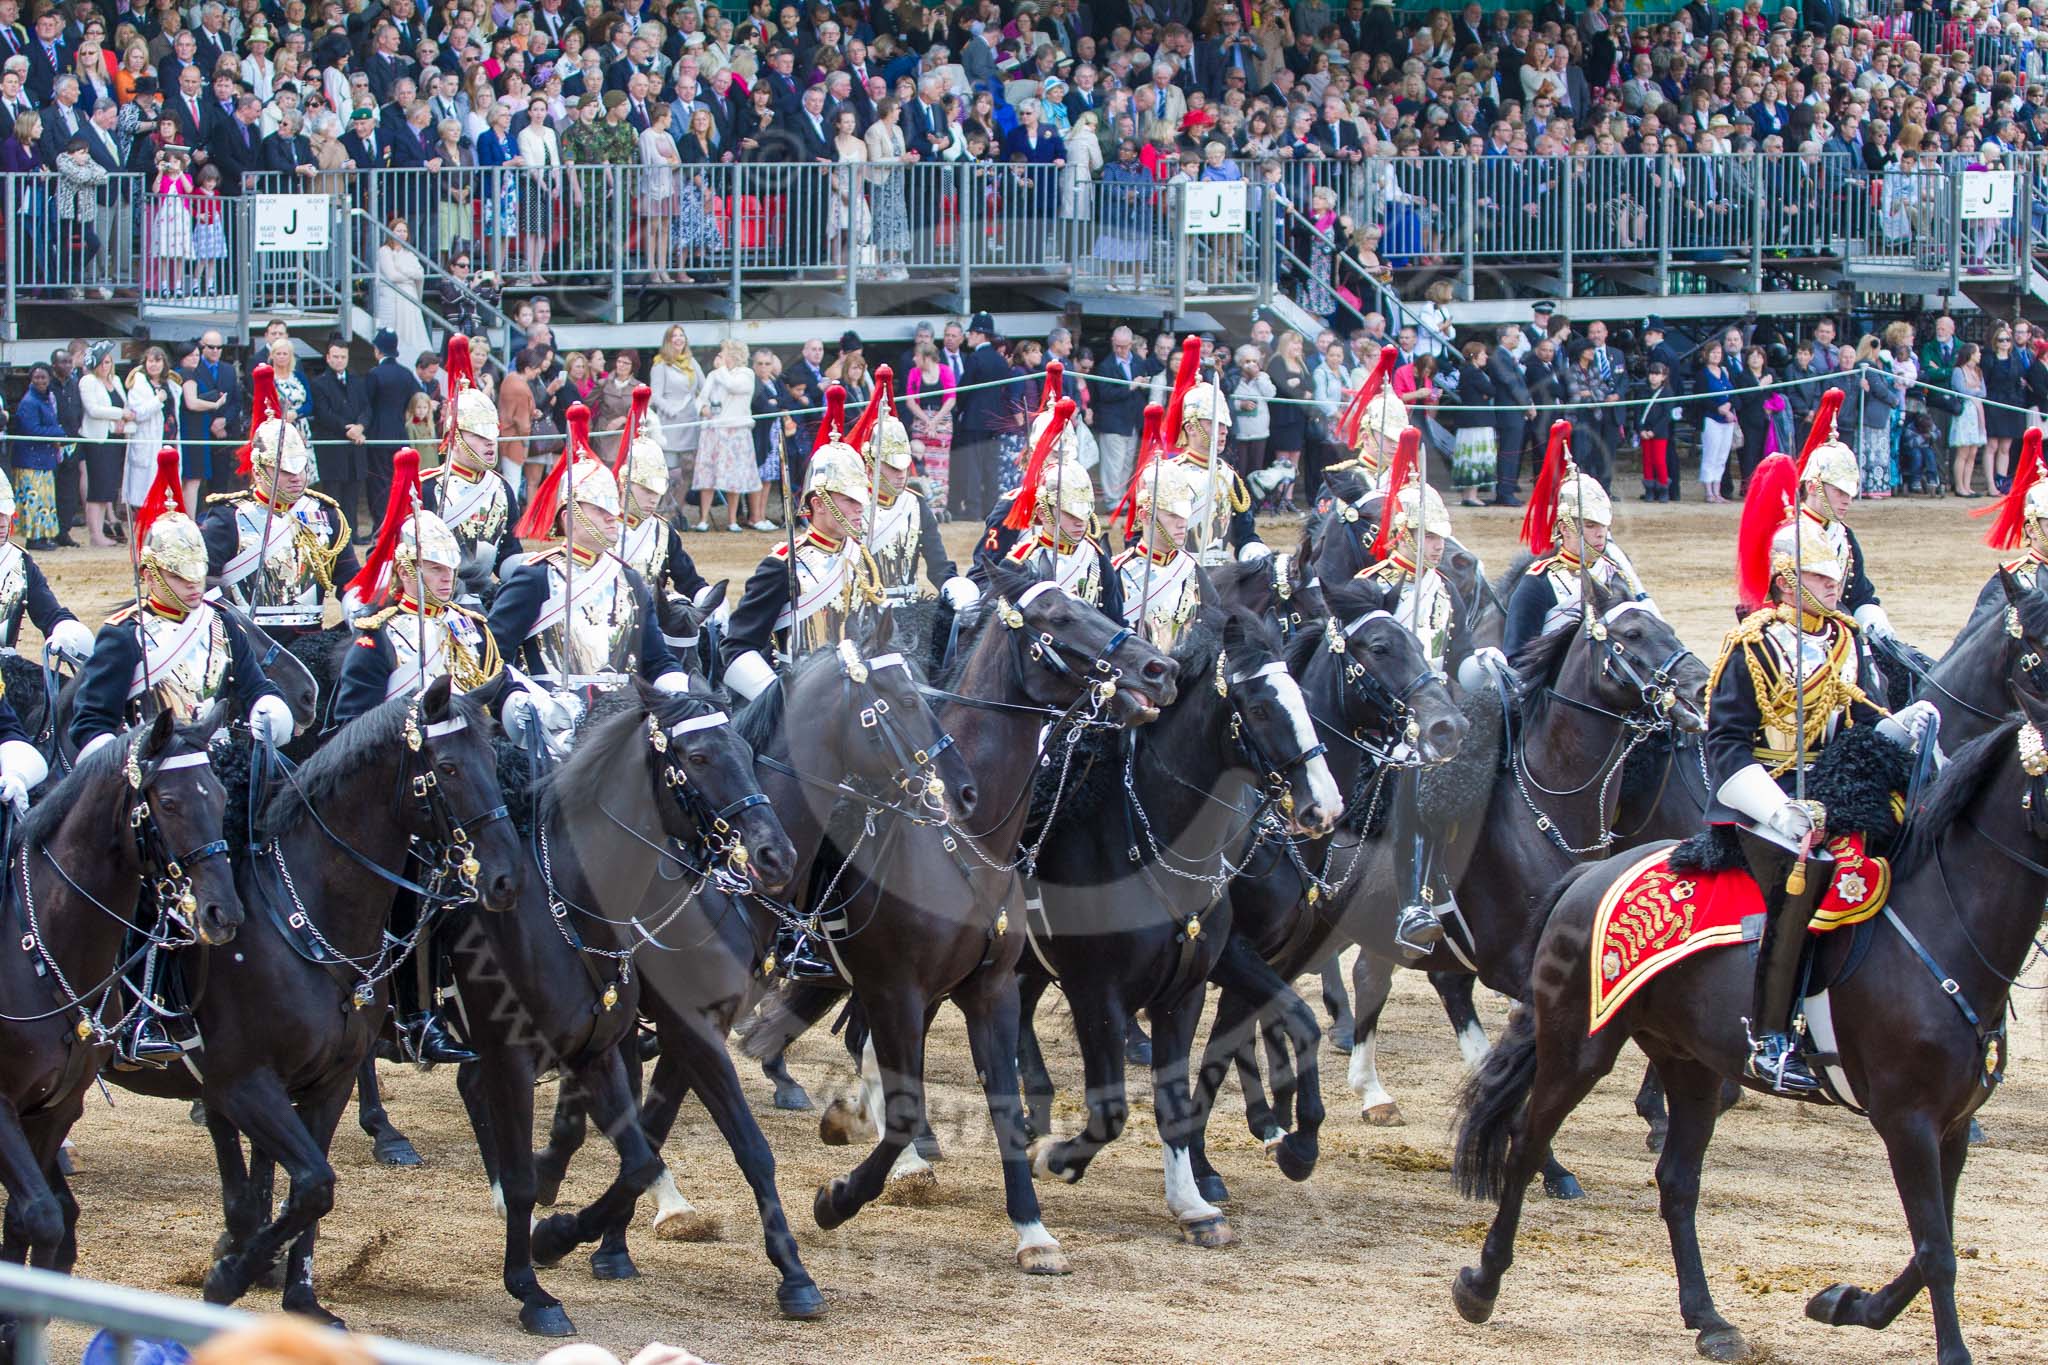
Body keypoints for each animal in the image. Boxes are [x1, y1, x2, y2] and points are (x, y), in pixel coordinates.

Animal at [0, 716, 239, 1293]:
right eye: (168, 802)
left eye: (221, 794)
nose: (223, 912)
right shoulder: (2, 1105)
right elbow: (42, 1215)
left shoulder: (55, 1107)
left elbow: (32, 1220)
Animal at [452, 683, 802, 1334]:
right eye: (697, 756)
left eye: (744, 750)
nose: (776, 855)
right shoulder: (681, 1032)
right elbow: (698, 1141)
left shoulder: (628, 1040)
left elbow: (654, 1146)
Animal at [1019, 609, 1343, 1252]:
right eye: (1260, 706)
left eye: (1303, 698)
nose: (1324, 806)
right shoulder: (1098, 994)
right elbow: (1112, 1110)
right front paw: (1058, 1159)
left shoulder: (1189, 987)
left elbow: (1188, 1087)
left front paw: (1198, 1199)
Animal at [1458, 687, 2048, 1358]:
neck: (1945, 927)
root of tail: (1594, 873)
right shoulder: (1908, 1121)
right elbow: (1936, 1251)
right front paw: (1948, 1350)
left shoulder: (1950, 1125)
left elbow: (1932, 1246)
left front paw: (1845, 1304)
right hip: (1578, 1047)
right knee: (1526, 1143)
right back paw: (1481, 1285)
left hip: (1690, 1064)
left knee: (1677, 1181)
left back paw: (1708, 1319)